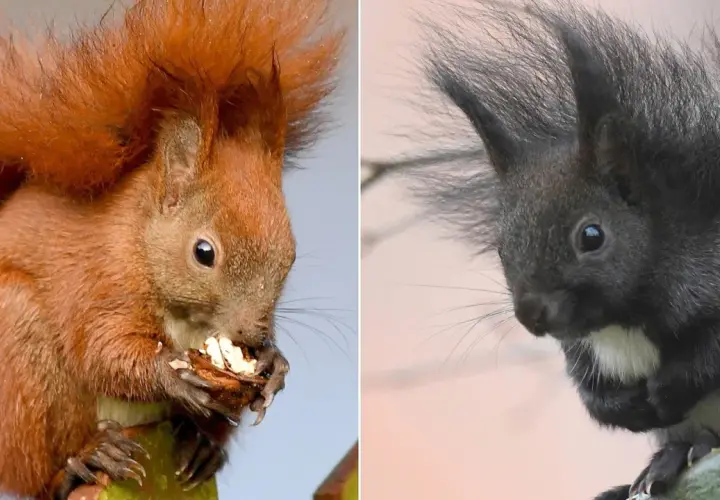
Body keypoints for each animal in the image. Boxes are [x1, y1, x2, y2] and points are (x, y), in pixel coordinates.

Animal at [0, 0, 343, 499]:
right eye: (204, 252)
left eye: (292, 255)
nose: (252, 335)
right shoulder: (99, 282)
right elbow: (101, 353)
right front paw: (171, 375)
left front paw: (274, 364)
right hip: (20, 356)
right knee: (43, 472)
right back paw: (86, 459)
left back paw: (200, 446)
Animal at [417, 1, 720, 499]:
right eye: (500, 248)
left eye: (591, 236)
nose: (531, 315)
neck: (619, 322)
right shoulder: (579, 347)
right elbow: (586, 387)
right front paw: (625, 406)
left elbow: (709, 353)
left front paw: (667, 390)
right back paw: (662, 463)